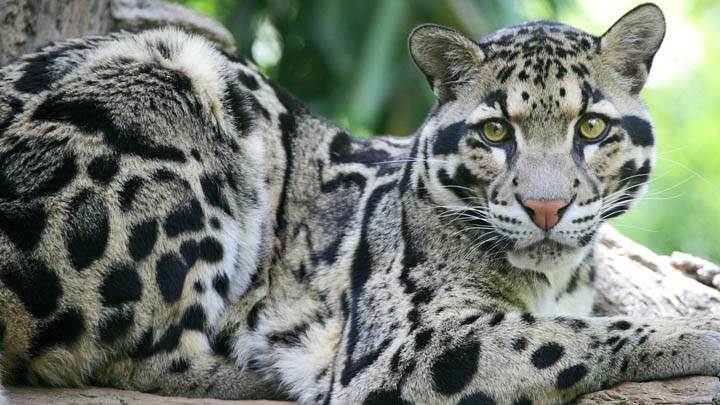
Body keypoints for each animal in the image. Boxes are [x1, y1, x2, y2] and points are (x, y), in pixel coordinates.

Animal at [1, 3, 719, 404]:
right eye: (495, 132)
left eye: (592, 127)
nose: (546, 208)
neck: (552, 275)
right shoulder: (401, 346)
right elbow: (573, 335)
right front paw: (701, 330)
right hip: (172, 74)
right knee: (113, 351)